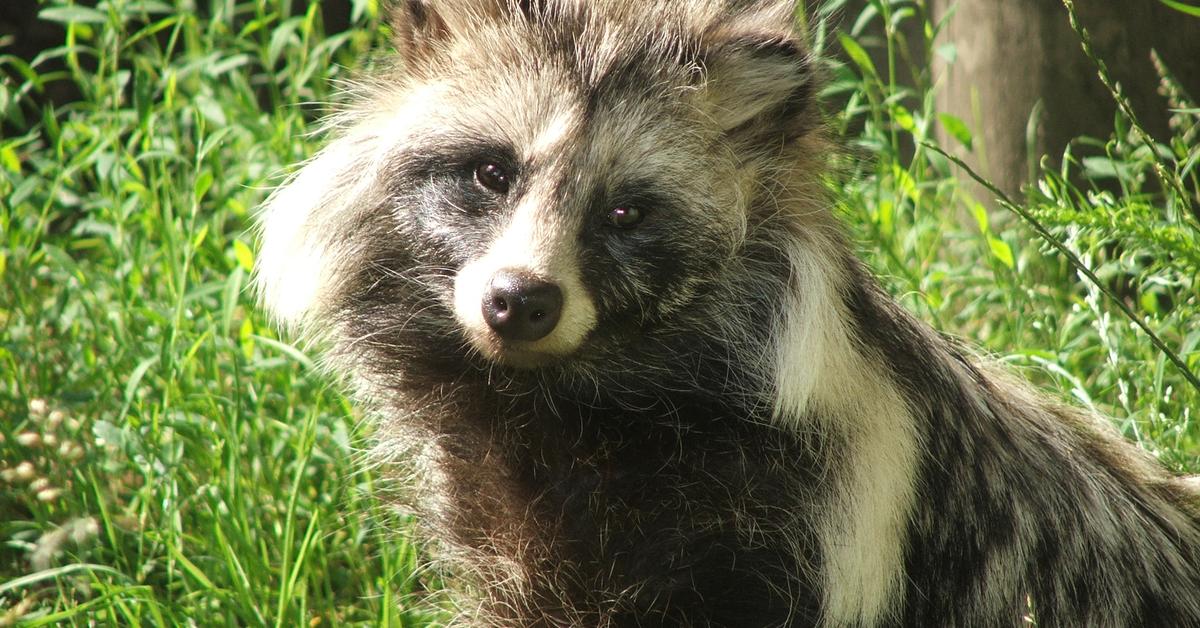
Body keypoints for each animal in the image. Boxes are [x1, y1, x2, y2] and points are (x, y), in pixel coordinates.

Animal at [253, 0, 1200, 624]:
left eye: (626, 212)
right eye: (493, 171)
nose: (518, 302)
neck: (572, 405)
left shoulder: (814, 527)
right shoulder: (511, 538)